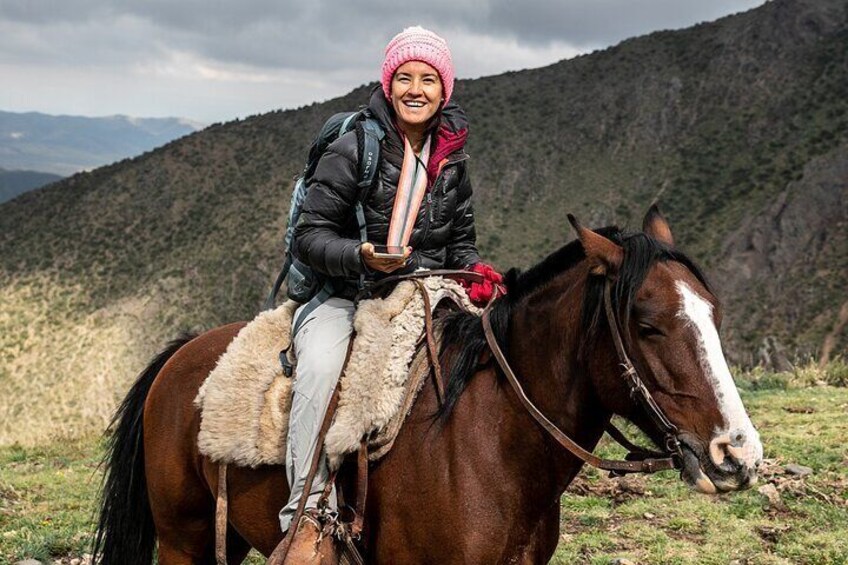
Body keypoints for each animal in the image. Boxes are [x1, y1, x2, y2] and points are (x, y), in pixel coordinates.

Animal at [91, 207, 760, 564]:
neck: (489, 443)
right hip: (183, 538)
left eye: (716, 314)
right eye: (647, 325)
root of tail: (180, 356)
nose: (738, 455)